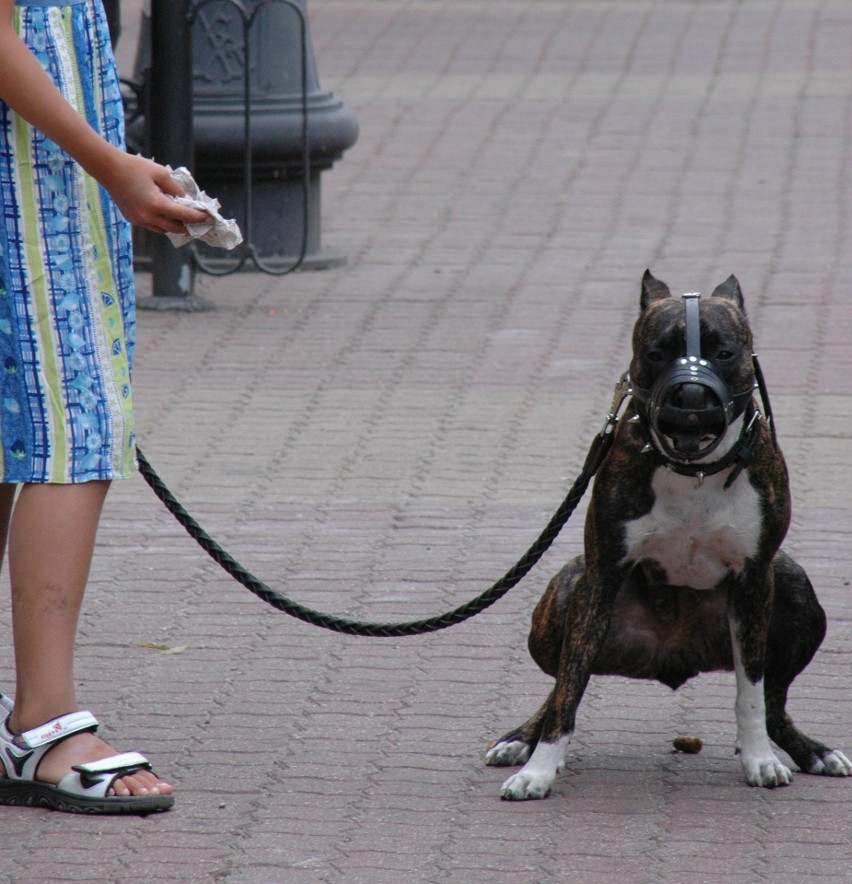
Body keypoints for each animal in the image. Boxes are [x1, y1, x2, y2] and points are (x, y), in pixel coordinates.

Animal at [486, 272, 852, 800]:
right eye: (657, 352)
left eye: (725, 352)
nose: (692, 398)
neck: (693, 469)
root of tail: (673, 654)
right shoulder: (598, 579)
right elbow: (568, 690)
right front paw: (539, 769)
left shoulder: (755, 581)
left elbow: (751, 693)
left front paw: (760, 759)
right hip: (567, 593)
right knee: (560, 684)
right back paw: (520, 739)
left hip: (794, 584)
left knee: (775, 702)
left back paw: (808, 751)